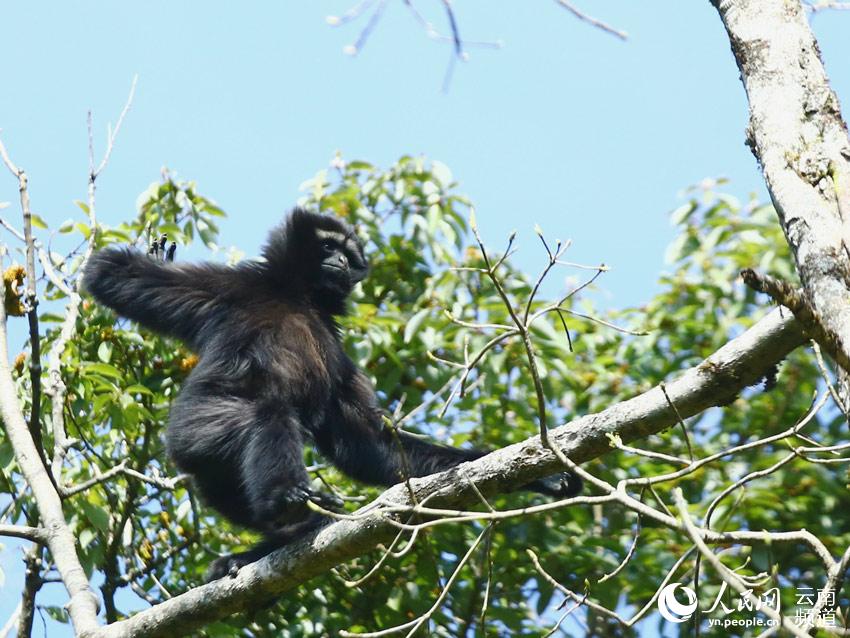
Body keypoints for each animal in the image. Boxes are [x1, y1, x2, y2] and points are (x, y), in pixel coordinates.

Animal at [83, 209, 581, 580]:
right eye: (328, 246)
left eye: (348, 253)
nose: (341, 262)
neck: (300, 296)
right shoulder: (232, 286)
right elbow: (109, 272)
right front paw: (156, 255)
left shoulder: (337, 352)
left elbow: (364, 445)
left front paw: (541, 477)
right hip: (197, 426)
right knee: (268, 414)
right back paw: (286, 500)